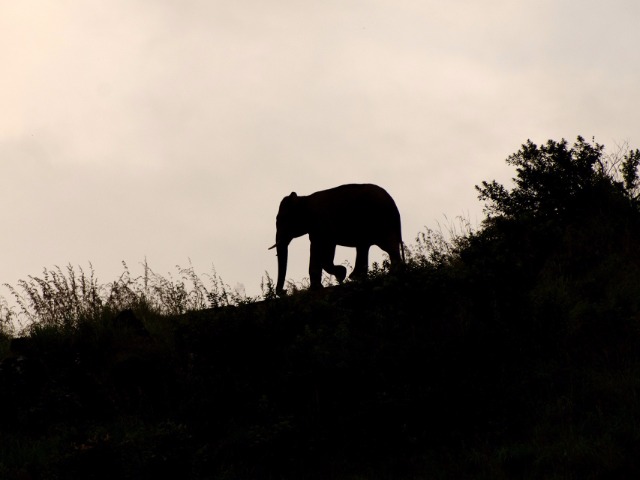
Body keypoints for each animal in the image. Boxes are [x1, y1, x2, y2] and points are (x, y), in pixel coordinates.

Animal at [269, 183, 404, 295]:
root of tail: (394, 205)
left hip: (381, 221)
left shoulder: (321, 223)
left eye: (282, 219)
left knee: (387, 246)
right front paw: (319, 287)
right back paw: (358, 278)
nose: (284, 292)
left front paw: (340, 275)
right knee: (366, 246)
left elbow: (322, 249)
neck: (304, 198)